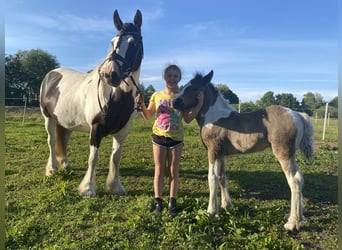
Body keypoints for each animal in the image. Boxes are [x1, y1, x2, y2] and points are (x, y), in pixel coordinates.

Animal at [39, 9, 144, 197]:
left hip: (65, 121)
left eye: (133, 43)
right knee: (51, 141)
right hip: (48, 118)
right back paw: (52, 169)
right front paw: (87, 189)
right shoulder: (96, 129)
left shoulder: (123, 131)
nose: (109, 74)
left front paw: (115, 187)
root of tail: (51, 74)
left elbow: (116, 158)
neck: (115, 98)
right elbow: (93, 158)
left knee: (63, 139)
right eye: (113, 42)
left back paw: (65, 165)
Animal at [175, 70, 314, 230]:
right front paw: (227, 206)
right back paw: (299, 218)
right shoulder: (221, 154)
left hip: (284, 154)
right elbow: (222, 177)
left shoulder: (213, 151)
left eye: (193, 88)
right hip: (291, 155)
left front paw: (211, 213)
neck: (214, 117)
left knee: (294, 180)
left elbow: (212, 178)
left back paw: (292, 223)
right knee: (300, 178)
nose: (174, 102)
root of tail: (297, 114)